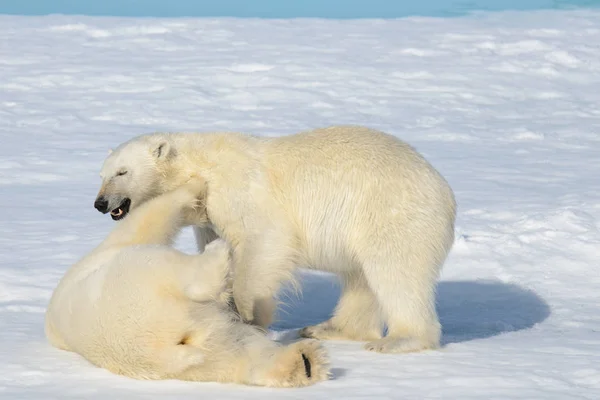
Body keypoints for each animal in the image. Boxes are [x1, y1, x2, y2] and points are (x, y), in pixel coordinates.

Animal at [44, 181, 330, 388]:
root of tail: (164, 348)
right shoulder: (126, 243)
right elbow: (152, 216)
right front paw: (195, 188)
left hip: (202, 354)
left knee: (240, 351)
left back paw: (306, 363)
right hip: (144, 282)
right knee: (186, 276)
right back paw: (218, 253)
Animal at [96, 125, 458, 354]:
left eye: (122, 172)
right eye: (102, 174)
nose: (100, 203)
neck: (198, 165)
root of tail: (445, 191)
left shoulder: (237, 191)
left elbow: (264, 242)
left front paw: (250, 317)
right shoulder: (208, 217)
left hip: (390, 213)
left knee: (395, 273)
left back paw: (398, 340)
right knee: (360, 278)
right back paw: (327, 328)